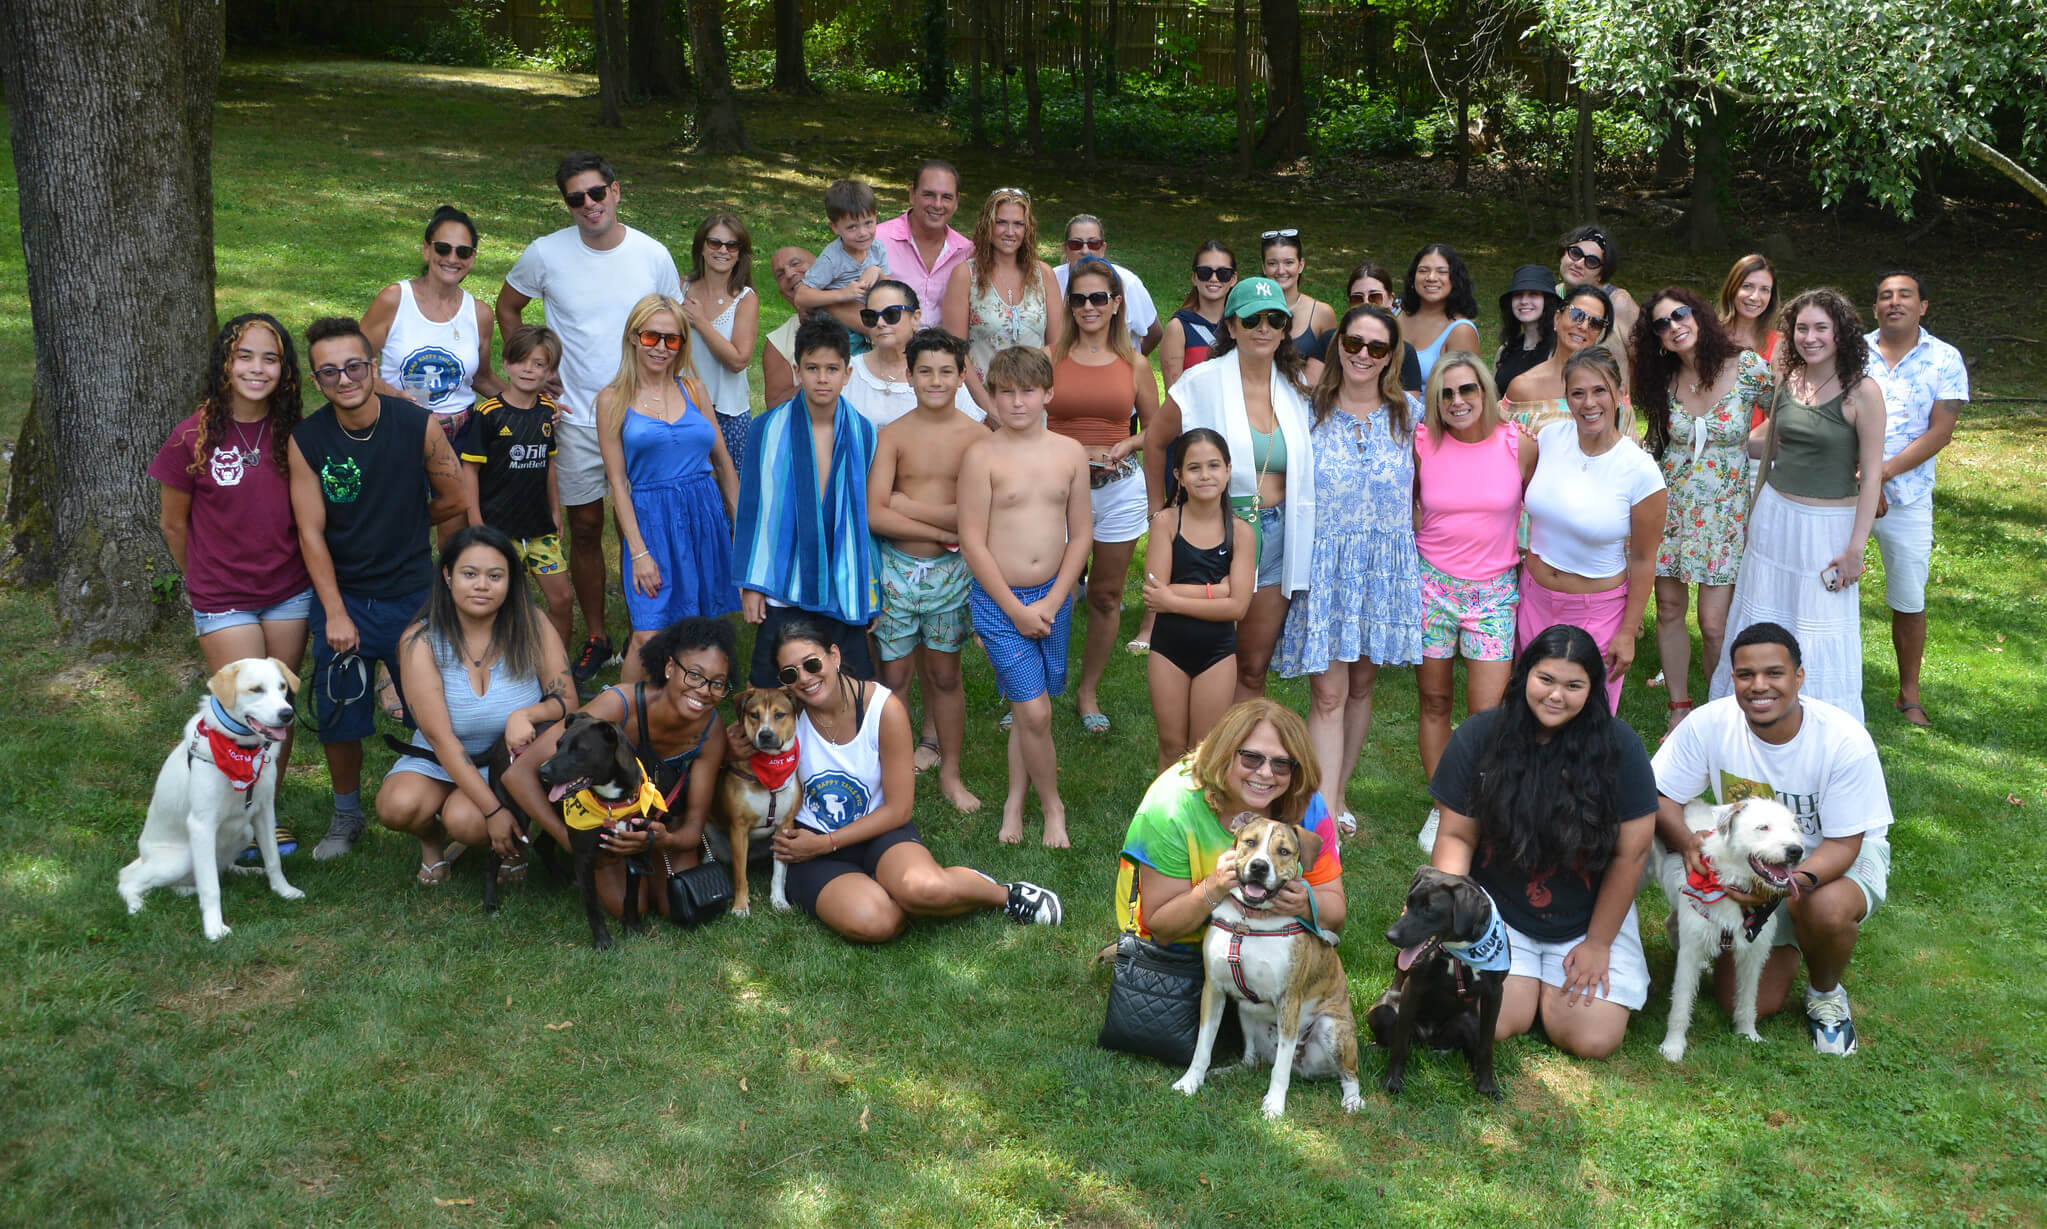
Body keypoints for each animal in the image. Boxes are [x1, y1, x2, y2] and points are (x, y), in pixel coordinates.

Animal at [119, 663, 302, 942]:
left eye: (282, 687)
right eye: (256, 689)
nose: (287, 714)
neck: (242, 752)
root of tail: (144, 856)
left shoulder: (263, 812)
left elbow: (273, 860)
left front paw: (284, 891)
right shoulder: (201, 824)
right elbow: (211, 888)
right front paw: (214, 928)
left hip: (244, 831)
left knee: (214, 870)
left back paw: (244, 872)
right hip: (181, 857)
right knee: (129, 881)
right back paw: (137, 905)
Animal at [720, 688, 798, 917]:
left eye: (779, 714)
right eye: (754, 714)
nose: (765, 735)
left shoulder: (785, 826)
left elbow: (779, 874)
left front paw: (779, 901)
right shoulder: (738, 829)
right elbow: (740, 875)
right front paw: (740, 906)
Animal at [1170, 819, 1359, 1122]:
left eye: (1283, 851)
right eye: (1250, 842)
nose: (1259, 866)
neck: (1249, 920)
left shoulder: (1289, 1000)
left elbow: (1280, 1067)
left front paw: (1274, 1105)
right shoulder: (1213, 989)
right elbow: (1202, 1046)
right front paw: (1190, 1082)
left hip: (1332, 1029)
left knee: (1350, 1075)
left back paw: (1353, 1101)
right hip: (1247, 1013)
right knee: (1251, 1057)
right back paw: (1229, 1071)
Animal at [1375, 868, 1506, 1097]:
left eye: (1429, 909)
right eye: (1409, 902)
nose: (1390, 935)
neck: (1458, 950)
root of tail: (1430, 1039)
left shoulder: (1494, 994)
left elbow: (1486, 1048)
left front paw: (1487, 1086)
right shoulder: (1413, 988)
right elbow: (1400, 1043)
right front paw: (1393, 1081)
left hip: (1471, 1022)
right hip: (1384, 1011)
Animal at [1662, 798, 1809, 1056]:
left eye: (1794, 829)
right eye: (1763, 827)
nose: (1795, 851)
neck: (1734, 883)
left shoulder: (1753, 954)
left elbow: (1748, 999)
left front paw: (1748, 1033)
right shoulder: (1691, 950)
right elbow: (1680, 1001)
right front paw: (1673, 1045)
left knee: (1671, 922)